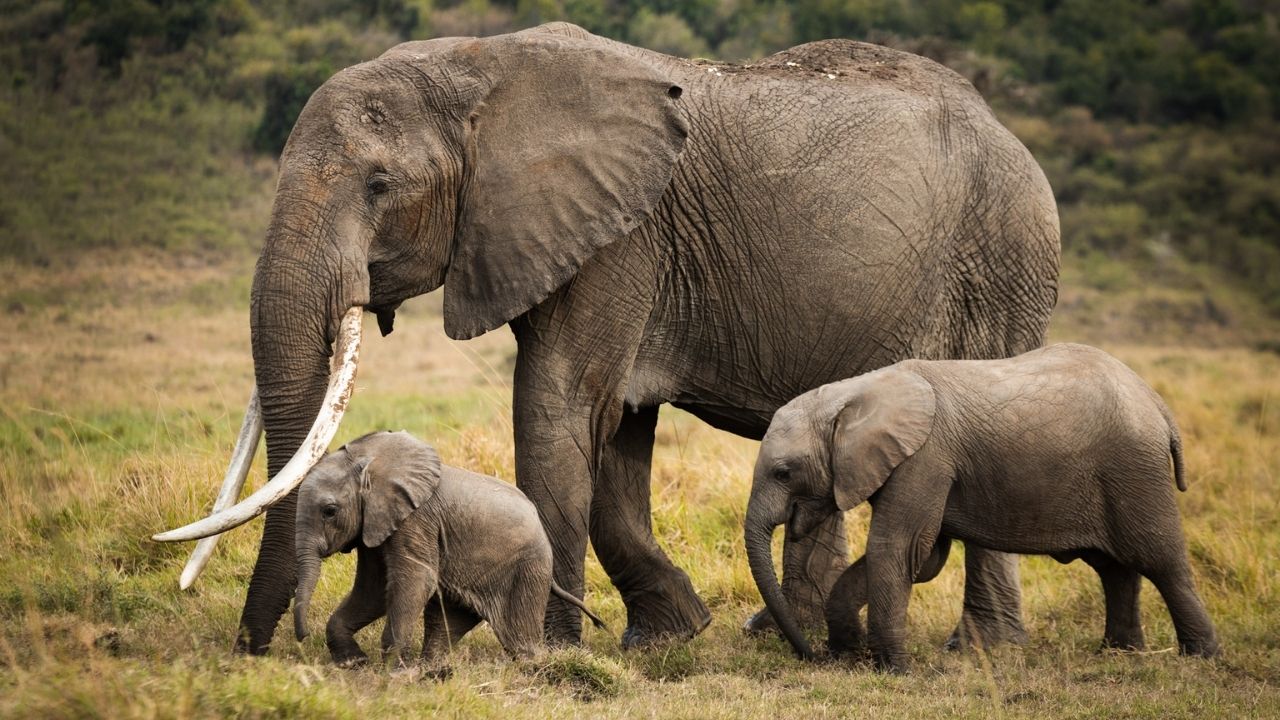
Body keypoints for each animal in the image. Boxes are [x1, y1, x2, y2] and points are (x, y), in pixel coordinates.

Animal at [293, 430, 606, 667]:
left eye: (330, 511)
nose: (302, 638)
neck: (368, 459)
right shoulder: (375, 524)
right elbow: (374, 589)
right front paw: (353, 663)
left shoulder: (416, 520)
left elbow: (414, 581)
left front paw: (394, 670)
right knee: (448, 619)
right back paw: (432, 670)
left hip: (528, 569)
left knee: (519, 637)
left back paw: (532, 666)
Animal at [745, 343, 1221, 672]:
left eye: (784, 473)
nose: (812, 656)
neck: (854, 393)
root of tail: (1157, 403)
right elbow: (924, 558)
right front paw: (850, 651)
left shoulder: (927, 457)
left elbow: (898, 549)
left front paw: (893, 669)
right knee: (1114, 568)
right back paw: (1119, 652)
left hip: (1136, 471)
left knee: (1160, 560)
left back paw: (1201, 657)